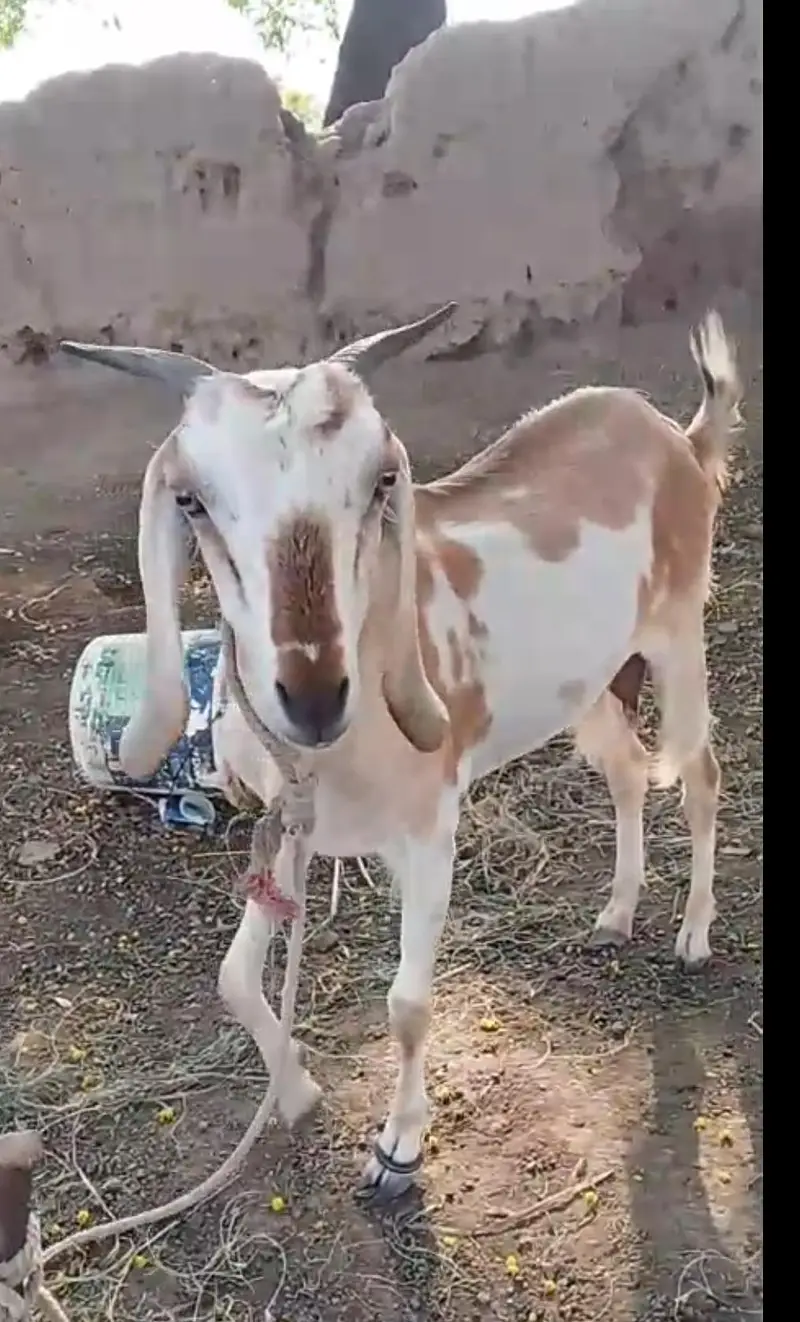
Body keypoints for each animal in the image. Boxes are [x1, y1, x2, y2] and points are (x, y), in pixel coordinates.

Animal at [60, 305, 743, 1199]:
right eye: (191, 499)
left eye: (383, 477)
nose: (314, 696)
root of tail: (678, 438)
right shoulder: (293, 826)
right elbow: (235, 977)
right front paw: (299, 1091)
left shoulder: (428, 831)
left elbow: (407, 1004)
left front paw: (397, 1151)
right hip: (590, 684)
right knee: (628, 772)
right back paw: (615, 916)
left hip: (677, 635)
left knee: (700, 775)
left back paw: (694, 935)